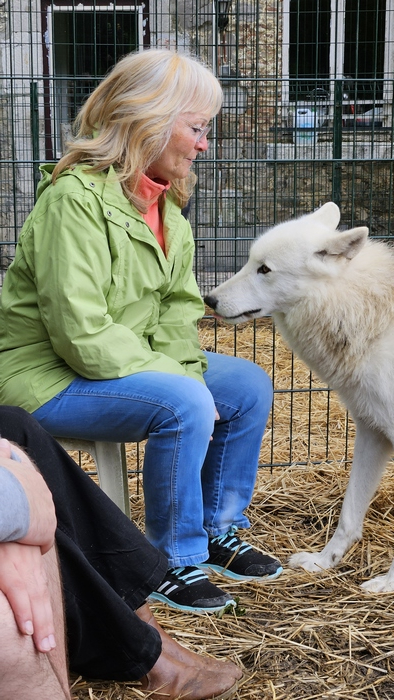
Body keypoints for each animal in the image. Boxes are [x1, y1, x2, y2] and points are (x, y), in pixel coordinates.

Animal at [205, 201, 394, 592]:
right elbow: (348, 514)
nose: (209, 299)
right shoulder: (372, 432)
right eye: (249, 261)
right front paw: (322, 562)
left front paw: (387, 583)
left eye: (264, 269)